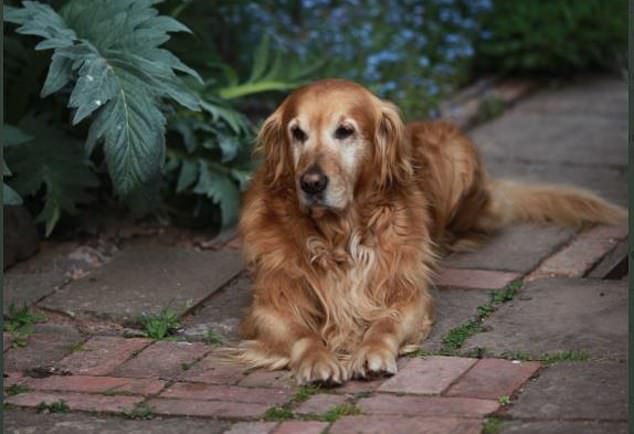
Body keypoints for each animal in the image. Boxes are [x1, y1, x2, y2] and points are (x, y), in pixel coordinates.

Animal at [235, 79, 624, 384]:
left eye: (345, 131)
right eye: (297, 133)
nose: (312, 183)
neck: (339, 235)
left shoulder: (408, 293)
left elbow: (385, 323)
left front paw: (371, 352)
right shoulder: (270, 304)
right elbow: (302, 333)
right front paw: (318, 359)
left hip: (458, 158)